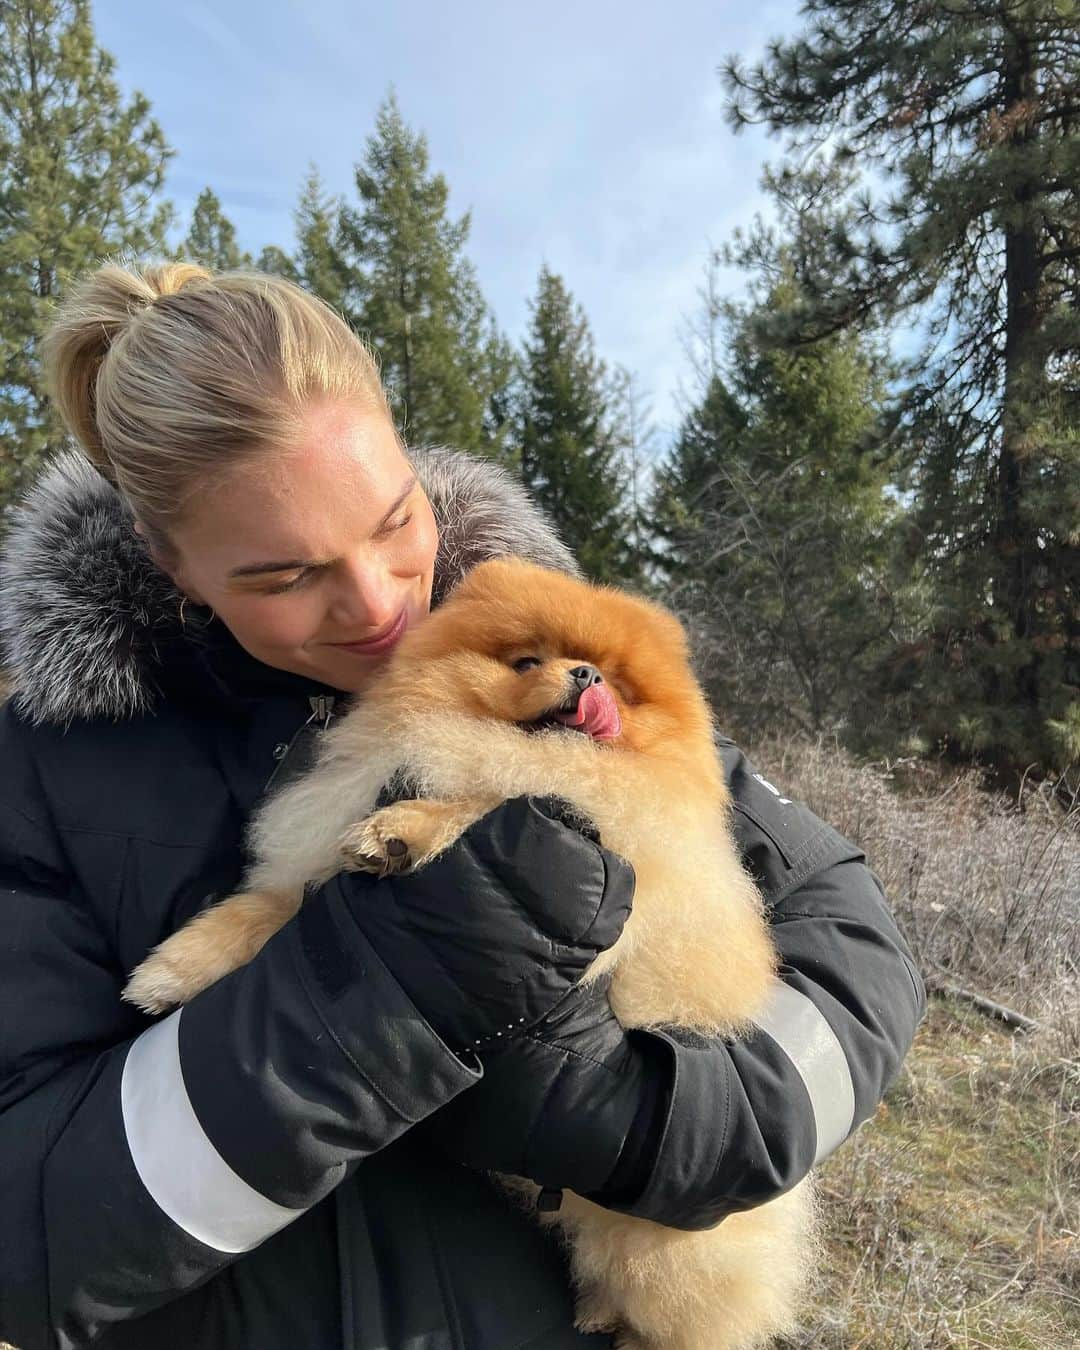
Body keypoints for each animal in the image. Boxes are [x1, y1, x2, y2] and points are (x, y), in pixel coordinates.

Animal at [122, 558, 815, 1350]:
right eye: (528, 661)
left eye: (616, 681)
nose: (586, 676)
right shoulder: (314, 869)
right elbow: (264, 914)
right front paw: (171, 970)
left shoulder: (612, 839)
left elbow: (485, 803)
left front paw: (405, 829)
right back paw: (595, 1308)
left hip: (671, 1242)